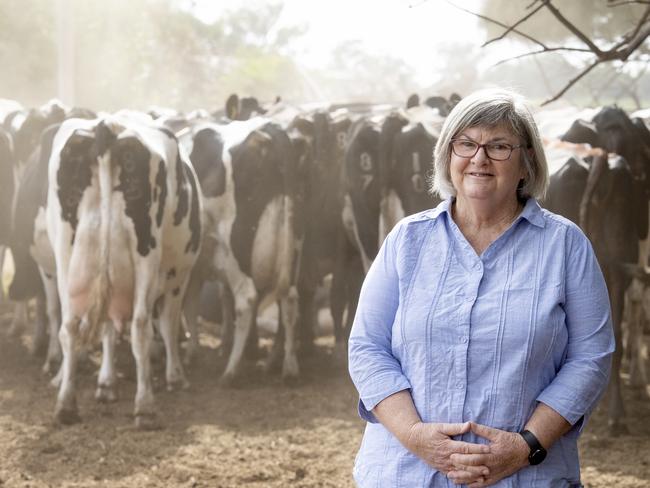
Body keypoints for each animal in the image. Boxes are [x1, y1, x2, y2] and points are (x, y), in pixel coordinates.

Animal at [48, 114, 201, 428]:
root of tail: (108, 127)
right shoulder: (178, 277)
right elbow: (168, 324)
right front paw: (175, 377)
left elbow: (108, 329)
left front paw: (106, 384)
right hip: (146, 255)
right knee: (141, 327)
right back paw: (145, 407)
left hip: (66, 256)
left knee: (69, 328)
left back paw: (66, 405)